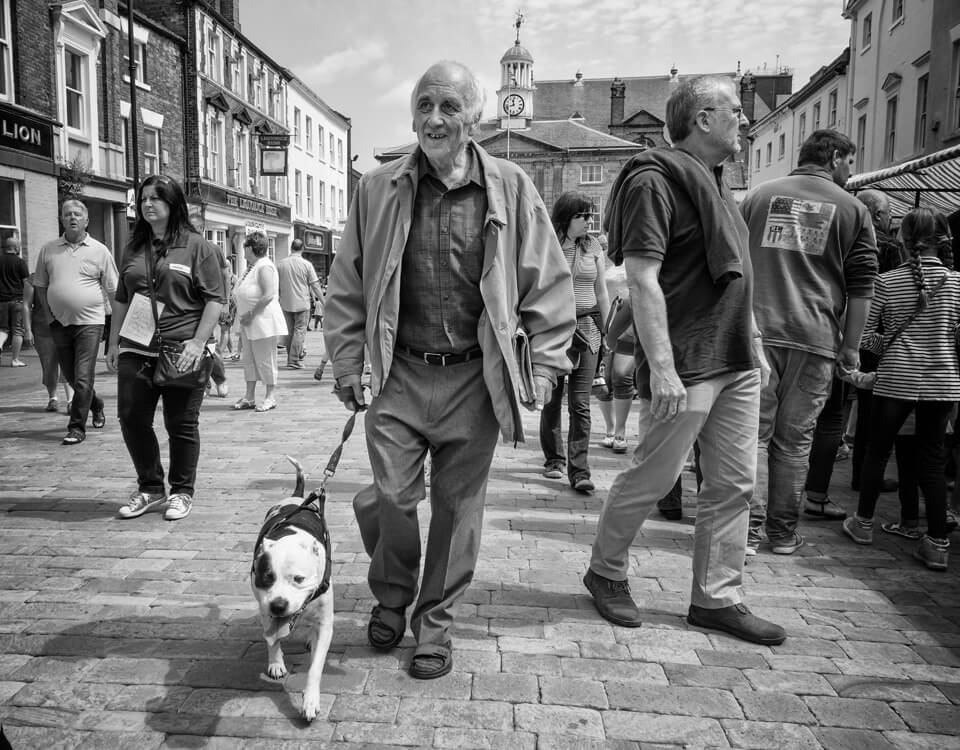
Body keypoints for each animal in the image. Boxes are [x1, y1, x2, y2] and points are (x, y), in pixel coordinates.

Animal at [249, 458, 332, 724]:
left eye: (299, 579)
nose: (278, 605)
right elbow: (272, 638)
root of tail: (297, 497)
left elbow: (315, 667)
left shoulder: (325, 622)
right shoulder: (264, 607)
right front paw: (276, 663)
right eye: (267, 577)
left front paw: (310, 701)